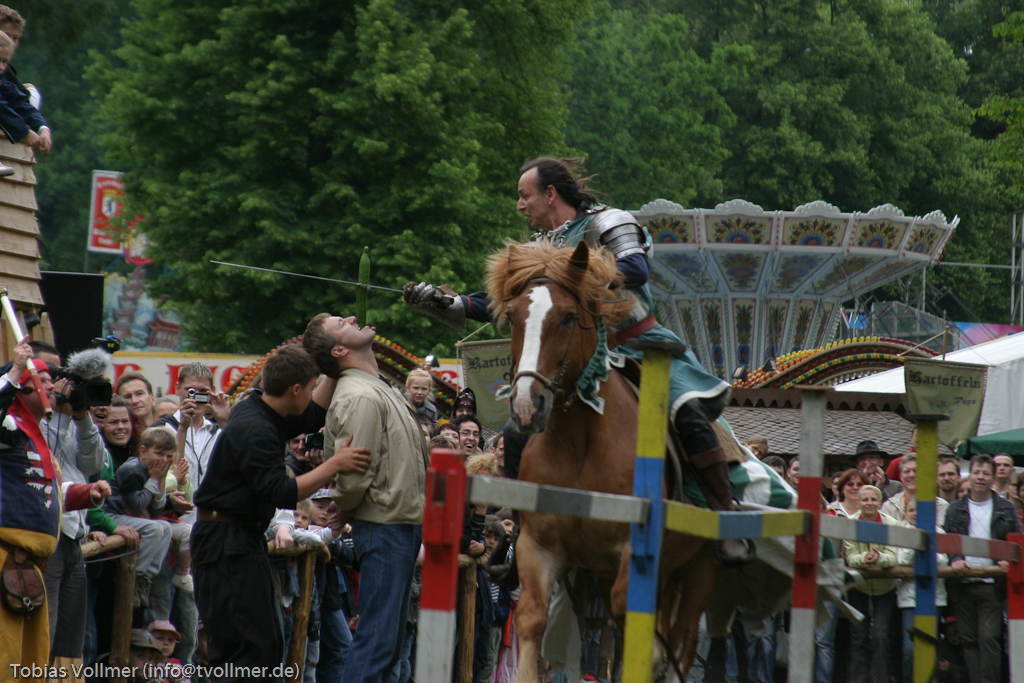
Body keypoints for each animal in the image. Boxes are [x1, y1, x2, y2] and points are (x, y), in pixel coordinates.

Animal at [486, 239, 720, 682]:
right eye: (513, 317)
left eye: (568, 317)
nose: (526, 406)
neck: (580, 443)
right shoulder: (539, 545)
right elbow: (531, 620)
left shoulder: (633, 555)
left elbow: (635, 638)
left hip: (693, 575)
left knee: (676, 645)